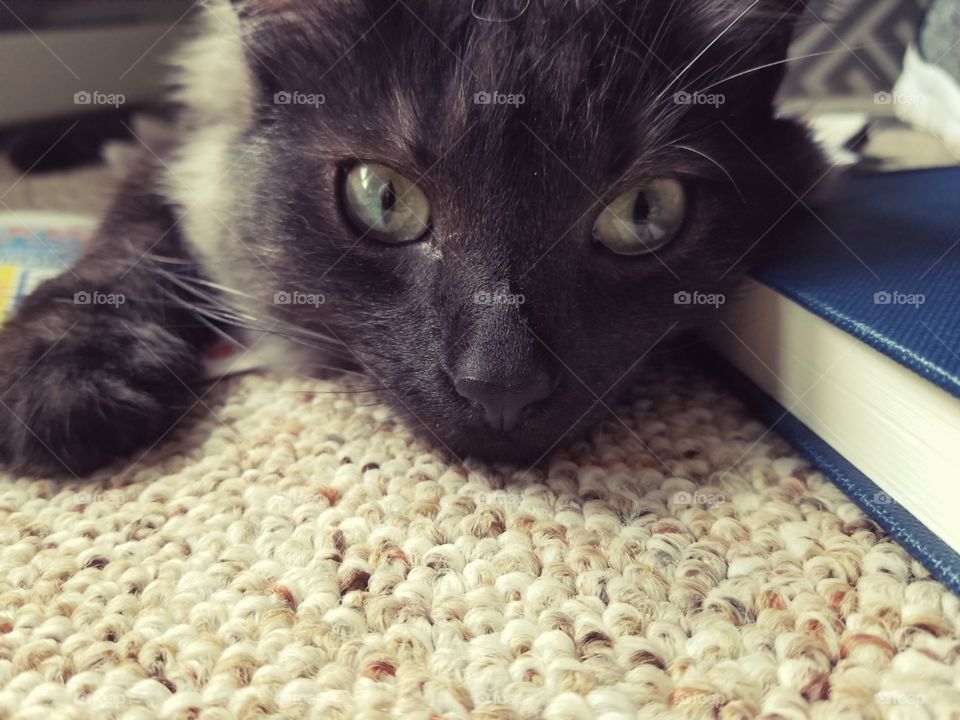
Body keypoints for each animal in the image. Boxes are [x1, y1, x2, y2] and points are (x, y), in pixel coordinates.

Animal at [0, 1, 824, 478]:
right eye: (383, 198)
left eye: (645, 211)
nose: (501, 387)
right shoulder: (179, 152)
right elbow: (129, 240)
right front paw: (58, 375)